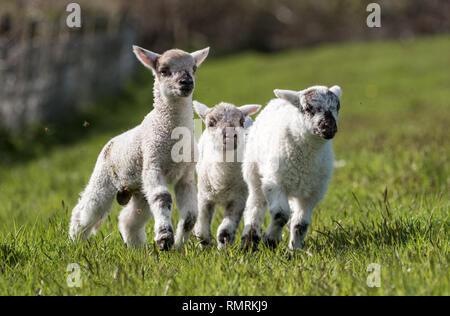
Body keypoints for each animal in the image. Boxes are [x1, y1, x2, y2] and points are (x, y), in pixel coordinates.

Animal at [68, 45, 209, 251]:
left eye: (194, 69)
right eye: (163, 71)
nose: (186, 82)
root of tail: (110, 142)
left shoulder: (186, 175)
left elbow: (191, 215)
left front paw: (178, 246)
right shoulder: (153, 163)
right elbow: (163, 198)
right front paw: (165, 239)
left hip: (140, 188)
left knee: (129, 219)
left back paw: (136, 248)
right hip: (103, 177)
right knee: (85, 210)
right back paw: (74, 243)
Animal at [241, 85, 342, 251]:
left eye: (337, 107)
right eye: (308, 108)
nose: (329, 127)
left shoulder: (313, 193)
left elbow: (301, 224)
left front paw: (295, 250)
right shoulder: (275, 182)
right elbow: (280, 214)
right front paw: (270, 240)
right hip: (253, 172)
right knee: (255, 204)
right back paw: (249, 241)